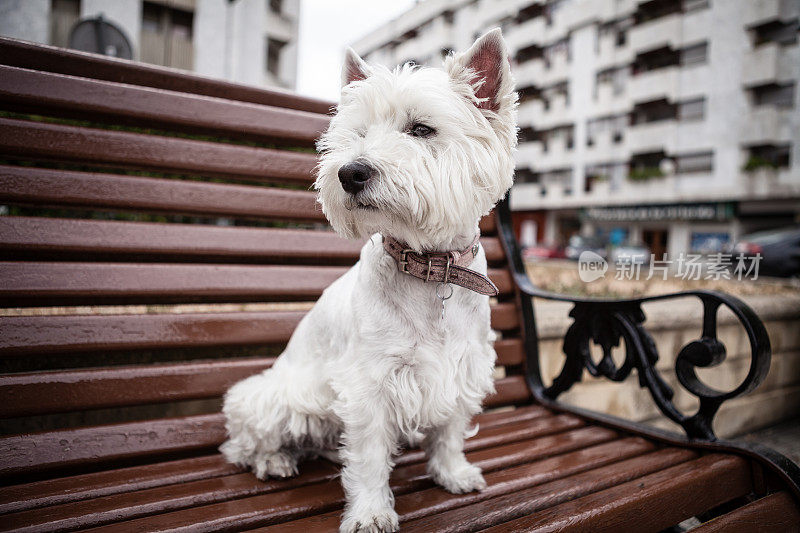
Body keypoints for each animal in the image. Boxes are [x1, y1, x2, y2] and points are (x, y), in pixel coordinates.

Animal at [219, 30, 520, 532]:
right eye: (358, 134)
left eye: (421, 129)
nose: (350, 172)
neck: (429, 264)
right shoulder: (370, 385)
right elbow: (369, 456)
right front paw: (370, 514)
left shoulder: (463, 368)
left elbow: (450, 430)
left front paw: (453, 473)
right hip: (276, 397)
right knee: (243, 440)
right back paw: (274, 461)